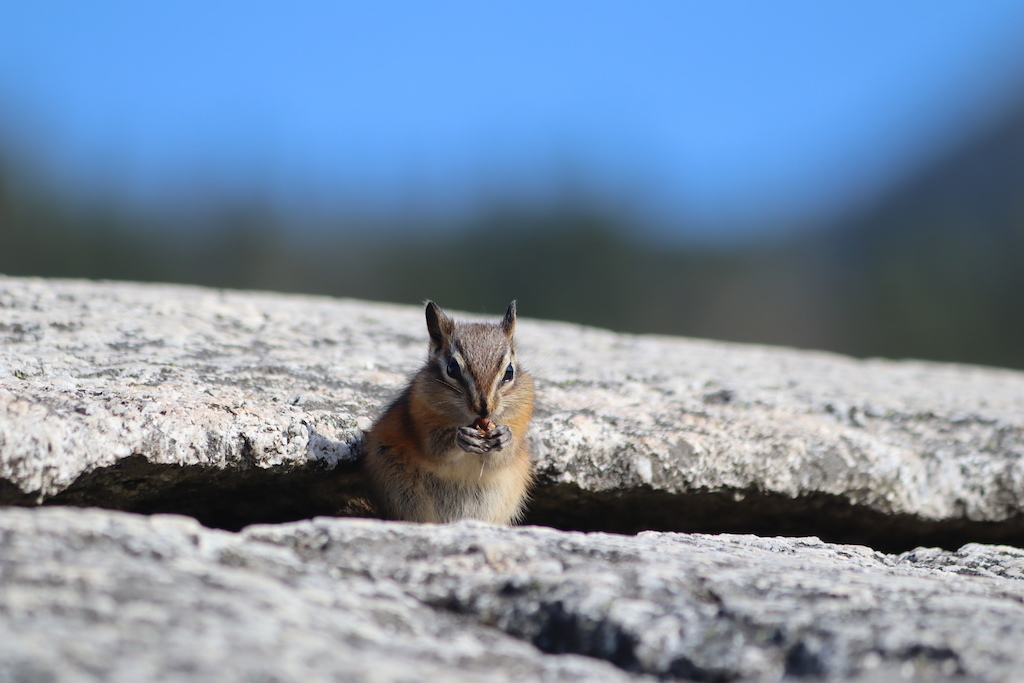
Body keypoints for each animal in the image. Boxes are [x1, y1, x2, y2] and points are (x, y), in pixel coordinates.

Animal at [362, 300, 535, 525]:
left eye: (509, 372)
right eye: (452, 368)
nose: (484, 408)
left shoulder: (519, 417)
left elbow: (503, 457)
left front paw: (504, 436)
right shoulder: (421, 414)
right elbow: (436, 449)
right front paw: (461, 437)